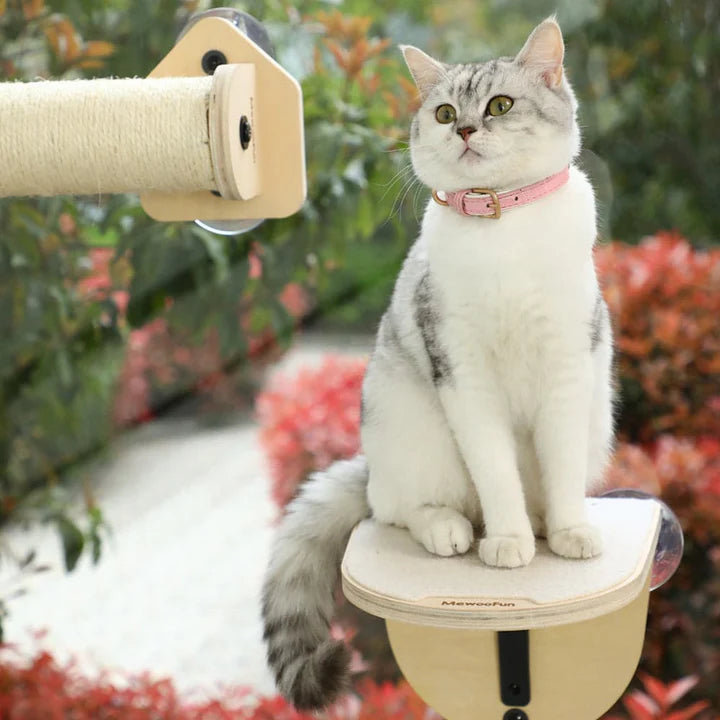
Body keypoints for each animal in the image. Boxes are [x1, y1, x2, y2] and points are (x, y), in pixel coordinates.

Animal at [258, 15, 612, 708]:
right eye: (446, 112)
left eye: (499, 105)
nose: (466, 129)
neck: (504, 234)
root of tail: (370, 466)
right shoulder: (464, 374)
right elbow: (496, 474)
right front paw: (508, 544)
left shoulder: (566, 366)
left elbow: (557, 470)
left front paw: (567, 534)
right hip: (411, 433)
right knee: (398, 508)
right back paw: (453, 529)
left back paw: (541, 522)